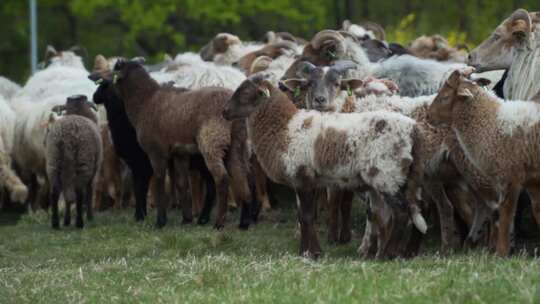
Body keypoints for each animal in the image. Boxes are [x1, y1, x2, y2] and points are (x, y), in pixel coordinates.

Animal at [44, 95, 102, 228]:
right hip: (83, 163)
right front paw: (90, 217)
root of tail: (66, 137)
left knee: (55, 193)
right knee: (80, 193)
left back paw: (55, 223)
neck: (77, 111)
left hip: (53, 163)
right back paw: (80, 222)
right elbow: (89, 192)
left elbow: (67, 199)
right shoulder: (94, 173)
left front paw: (66, 220)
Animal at [111, 58, 253, 229]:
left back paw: (219, 223)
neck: (145, 101)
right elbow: (182, 184)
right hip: (237, 142)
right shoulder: (180, 152)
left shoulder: (156, 151)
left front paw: (160, 221)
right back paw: (244, 222)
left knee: (222, 178)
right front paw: (186, 219)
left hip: (212, 141)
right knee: (241, 176)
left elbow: (159, 181)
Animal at [221, 73, 428, 256]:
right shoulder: (301, 181)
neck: (284, 128)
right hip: (393, 177)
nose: (224, 112)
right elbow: (302, 216)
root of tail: (413, 129)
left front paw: (312, 253)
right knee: (387, 215)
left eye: (246, 93)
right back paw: (381, 254)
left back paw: (389, 254)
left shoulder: (302, 175)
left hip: (387, 175)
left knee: (401, 213)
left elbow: (306, 216)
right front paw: (306, 251)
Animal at [426, 68, 540, 254]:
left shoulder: (509, 178)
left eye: (445, 97)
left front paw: (501, 253)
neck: (491, 123)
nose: (428, 116)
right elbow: (537, 211)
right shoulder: (532, 182)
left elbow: (506, 214)